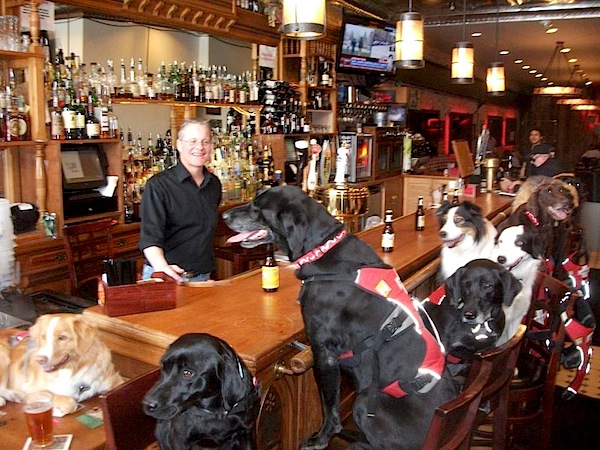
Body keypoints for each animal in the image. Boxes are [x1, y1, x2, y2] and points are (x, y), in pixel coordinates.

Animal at [223, 185, 458, 450]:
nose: (225, 216)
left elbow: (329, 406)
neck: (322, 247)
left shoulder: (323, 352)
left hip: (364, 401)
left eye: (258, 207)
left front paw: (320, 439)